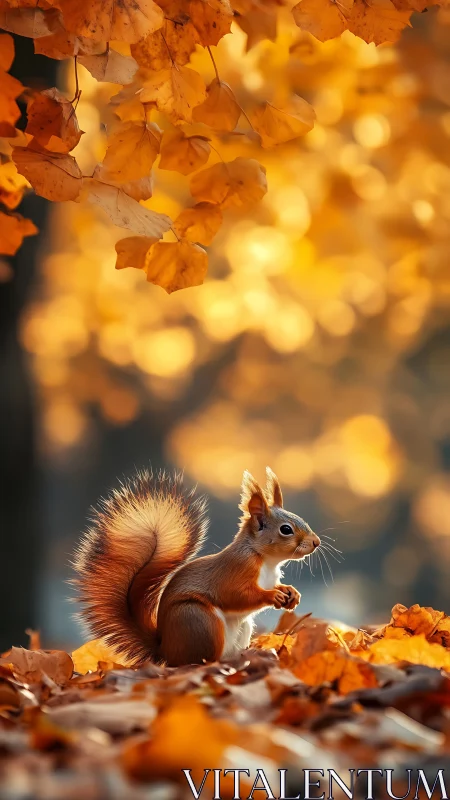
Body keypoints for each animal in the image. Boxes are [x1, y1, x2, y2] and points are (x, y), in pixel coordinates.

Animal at [73, 467, 320, 667]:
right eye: (286, 529)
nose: (316, 542)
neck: (266, 560)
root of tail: (165, 651)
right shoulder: (235, 570)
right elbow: (236, 595)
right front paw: (273, 596)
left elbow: (277, 586)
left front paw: (291, 593)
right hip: (200, 621)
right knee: (200, 660)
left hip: (240, 628)